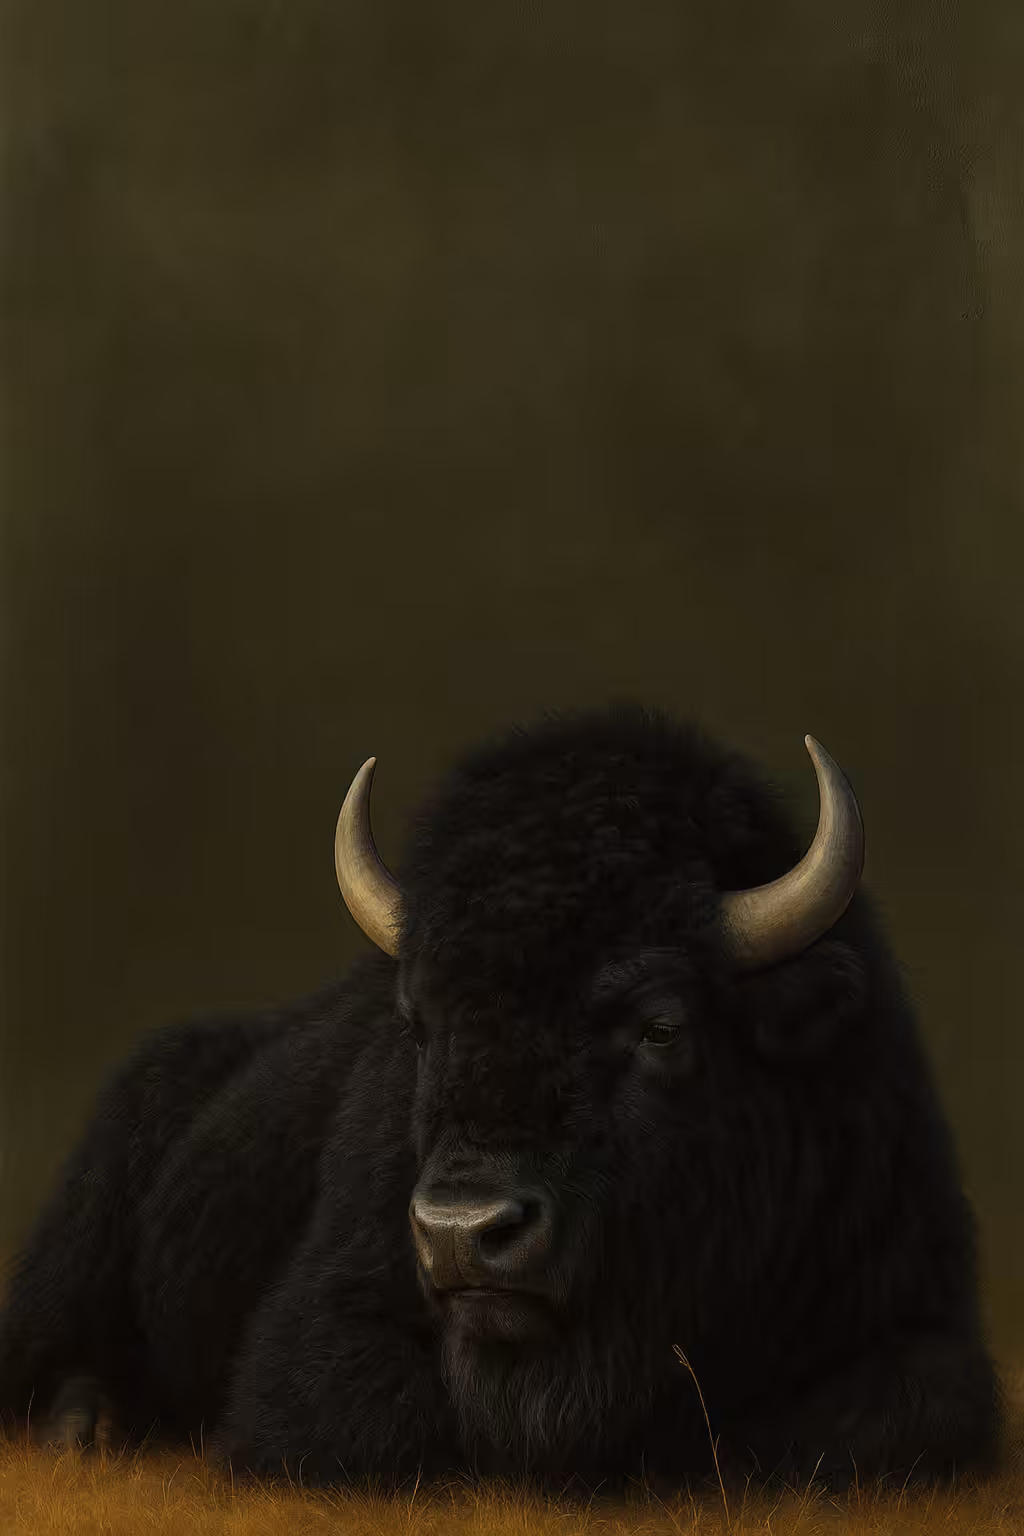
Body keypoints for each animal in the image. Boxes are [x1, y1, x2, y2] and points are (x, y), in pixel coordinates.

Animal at [0, 706, 1001, 1494]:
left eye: (661, 1026)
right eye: (419, 1023)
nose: (460, 1232)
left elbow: (901, 1414)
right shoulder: (322, 1340)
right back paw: (86, 1432)